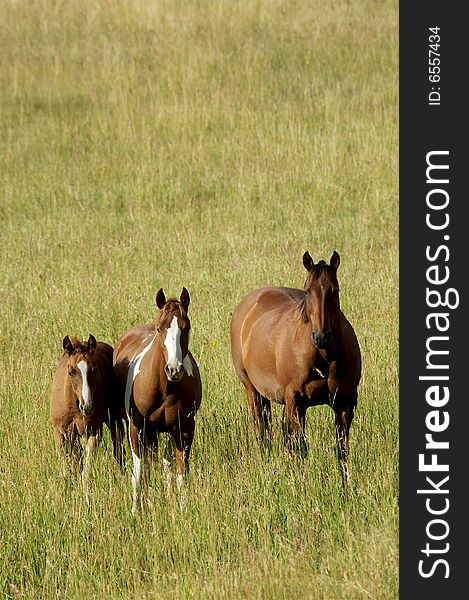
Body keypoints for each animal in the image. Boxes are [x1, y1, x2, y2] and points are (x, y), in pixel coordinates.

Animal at [50, 336, 125, 500]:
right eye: (71, 371)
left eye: (94, 370)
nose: (88, 406)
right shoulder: (61, 433)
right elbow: (66, 467)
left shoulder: (93, 432)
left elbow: (87, 469)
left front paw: (85, 494)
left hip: (113, 419)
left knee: (118, 444)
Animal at [114, 288, 203, 512]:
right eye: (159, 328)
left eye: (186, 327)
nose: (174, 369)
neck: (164, 389)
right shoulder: (137, 427)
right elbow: (139, 474)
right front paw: (135, 511)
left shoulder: (184, 428)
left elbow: (180, 472)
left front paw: (182, 509)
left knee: (166, 461)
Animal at [230, 251, 362, 480]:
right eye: (308, 291)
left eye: (335, 290)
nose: (321, 337)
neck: (324, 357)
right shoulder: (296, 401)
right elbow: (300, 448)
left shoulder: (345, 403)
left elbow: (342, 450)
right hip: (254, 392)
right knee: (263, 430)